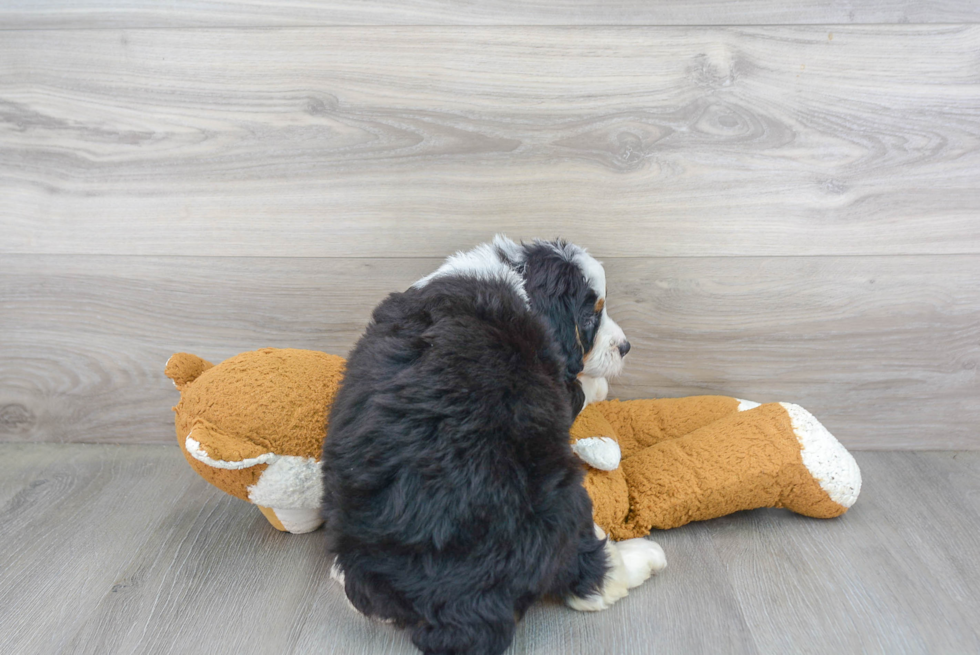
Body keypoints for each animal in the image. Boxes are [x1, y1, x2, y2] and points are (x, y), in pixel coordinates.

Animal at [322, 236, 668, 655]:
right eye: (590, 316)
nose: (626, 346)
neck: (513, 276)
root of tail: (457, 602)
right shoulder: (557, 379)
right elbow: (581, 387)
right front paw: (598, 383)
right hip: (562, 496)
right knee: (588, 577)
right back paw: (641, 557)